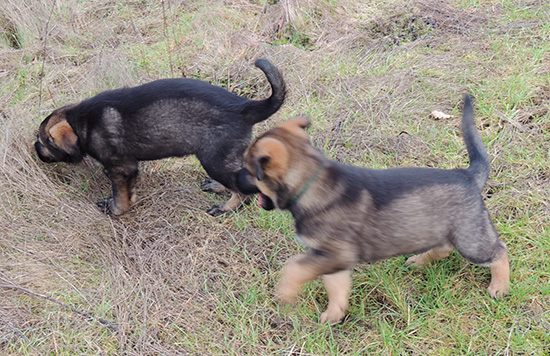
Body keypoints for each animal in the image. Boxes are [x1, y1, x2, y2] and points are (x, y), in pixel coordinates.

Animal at [35, 58, 284, 216]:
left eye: (42, 141)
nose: (35, 150)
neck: (83, 122)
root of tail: (244, 107)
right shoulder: (127, 169)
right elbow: (128, 191)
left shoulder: (121, 167)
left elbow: (120, 195)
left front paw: (116, 211)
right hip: (225, 158)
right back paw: (217, 187)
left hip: (214, 159)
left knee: (244, 192)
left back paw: (226, 208)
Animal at [237, 96, 512, 324]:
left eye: (249, 170)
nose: (232, 180)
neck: (310, 180)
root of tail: (467, 175)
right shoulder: (332, 258)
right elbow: (335, 287)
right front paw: (333, 316)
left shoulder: (334, 254)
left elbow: (294, 267)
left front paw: (285, 294)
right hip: (442, 229)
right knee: (444, 248)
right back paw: (420, 260)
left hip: (470, 239)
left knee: (499, 251)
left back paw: (500, 286)